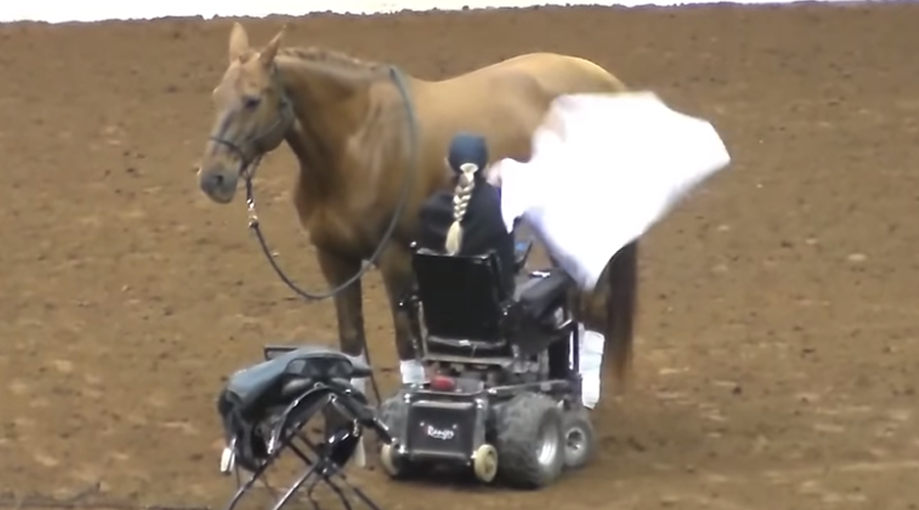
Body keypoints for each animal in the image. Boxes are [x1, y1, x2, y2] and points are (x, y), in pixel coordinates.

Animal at [196, 22, 639, 395]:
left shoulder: (396, 260)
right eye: (217, 97)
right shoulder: (335, 259)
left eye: (252, 100)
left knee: (593, 309)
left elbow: (407, 346)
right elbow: (351, 345)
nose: (213, 178)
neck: (356, 145)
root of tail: (606, 82)